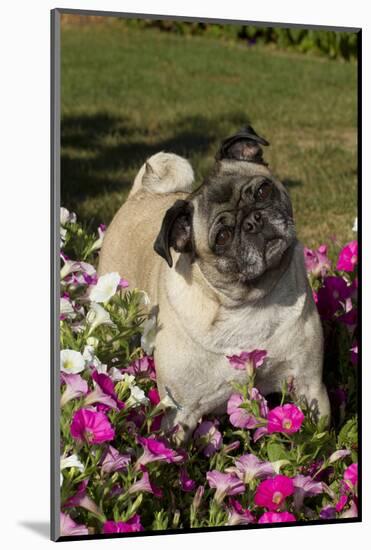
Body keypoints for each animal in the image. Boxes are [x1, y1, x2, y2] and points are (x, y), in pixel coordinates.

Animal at [97, 126, 330, 444]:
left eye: (263, 190)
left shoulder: (310, 385)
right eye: (222, 237)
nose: (253, 221)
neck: (249, 303)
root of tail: (141, 193)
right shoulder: (179, 413)